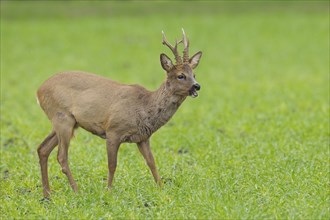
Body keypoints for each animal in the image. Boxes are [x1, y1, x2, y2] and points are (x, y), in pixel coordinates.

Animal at [36, 28, 201, 197]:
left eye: (194, 74)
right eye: (181, 75)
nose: (196, 86)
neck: (144, 107)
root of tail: (39, 91)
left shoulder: (143, 137)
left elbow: (151, 162)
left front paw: (161, 188)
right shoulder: (113, 131)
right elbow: (112, 164)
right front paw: (108, 190)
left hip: (67, 122)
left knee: (42, 149)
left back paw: (47, 193)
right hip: (62, 117)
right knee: (61, 156)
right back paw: (76, 190)